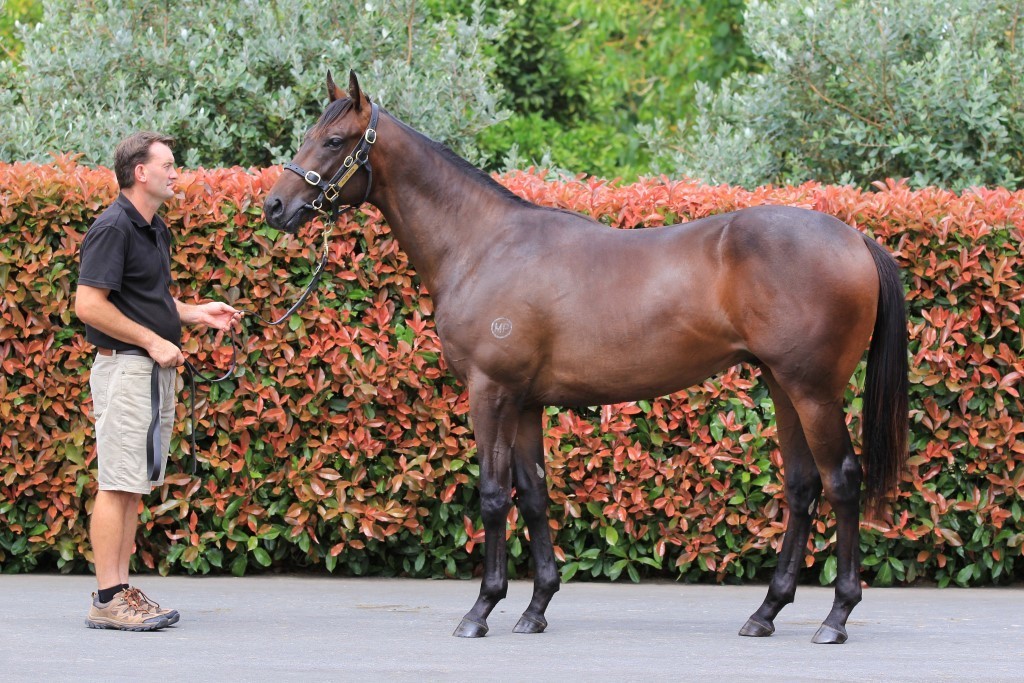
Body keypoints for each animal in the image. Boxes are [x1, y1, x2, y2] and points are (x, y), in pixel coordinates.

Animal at [263, 71, 908, 644]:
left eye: (335, 140)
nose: (274, 206)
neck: (482, 245)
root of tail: (854, 237)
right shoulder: (524, 403)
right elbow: (534, 493)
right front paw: (535, 608)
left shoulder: (490, 392)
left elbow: (494, 495)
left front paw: (481, 610)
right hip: (781, 385)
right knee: (802, 486)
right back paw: (766, 612)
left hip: (814, 391)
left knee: (841, 481)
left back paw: (836, 618)